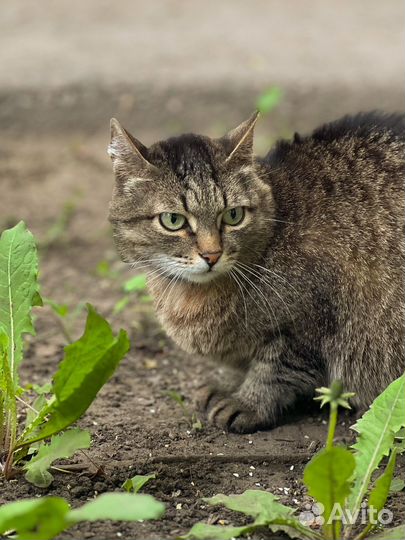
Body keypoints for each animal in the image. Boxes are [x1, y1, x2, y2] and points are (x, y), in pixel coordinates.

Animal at [107, 110, 404, 434]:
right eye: (173, 220)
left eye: (233, 216)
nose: (212, 254)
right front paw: (228, 383)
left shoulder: (308, 326)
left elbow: (273, 371)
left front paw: (247, 402)